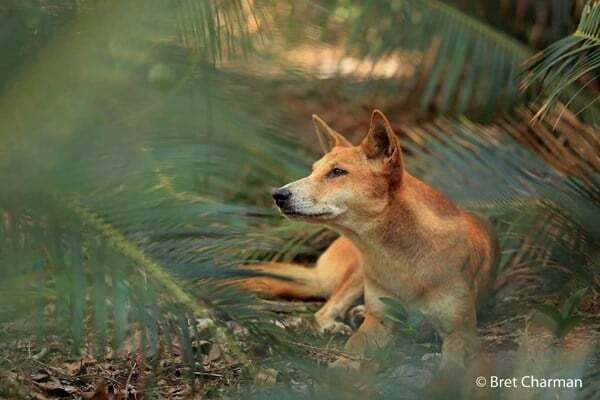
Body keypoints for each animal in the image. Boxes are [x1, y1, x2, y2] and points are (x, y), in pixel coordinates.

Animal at [241, 109, 500, 368]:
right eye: (313, 170)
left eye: (337, 172)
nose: (277, 195)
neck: (403, 260)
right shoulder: (379, 323)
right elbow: (353, 347)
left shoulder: (461, 332)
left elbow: (450, 367)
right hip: (358, 274)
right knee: (322, 313)